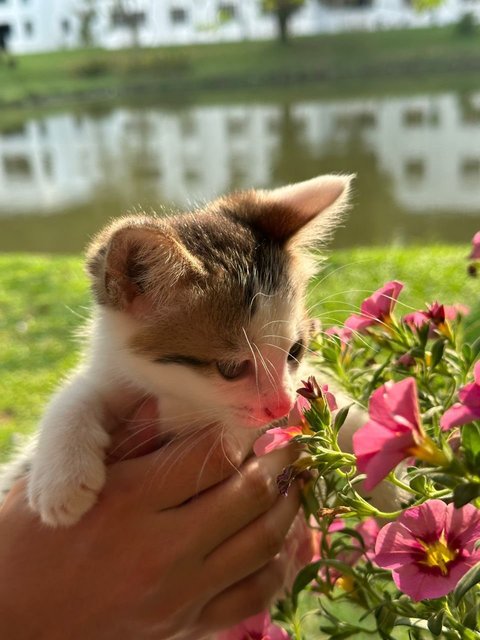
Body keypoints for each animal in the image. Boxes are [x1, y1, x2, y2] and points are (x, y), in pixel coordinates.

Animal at [1, 174, 352, 524]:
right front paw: (62, 481)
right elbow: (77, 393)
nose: (281, 407)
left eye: (295, 351)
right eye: (230, 369)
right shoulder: (113, 370)